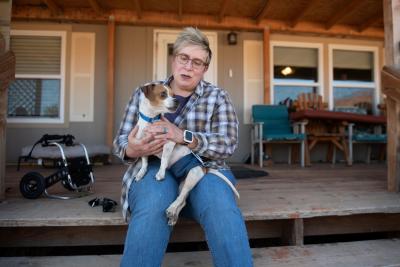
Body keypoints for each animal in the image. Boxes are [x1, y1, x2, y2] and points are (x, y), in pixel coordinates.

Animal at [134, 84, 241, 226]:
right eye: (163, 94)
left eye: (173, 94)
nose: (177, 101)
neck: (151, 120)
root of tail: (204, 168)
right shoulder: (142, 145)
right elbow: (144, 162)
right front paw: (141, 173)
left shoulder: (169, 142)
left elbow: (164, 160)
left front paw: (160, 173)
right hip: (183, 184)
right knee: (183, 200)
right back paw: (173, 216)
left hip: (192, 177)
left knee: (181, 198)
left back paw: (171, 209)